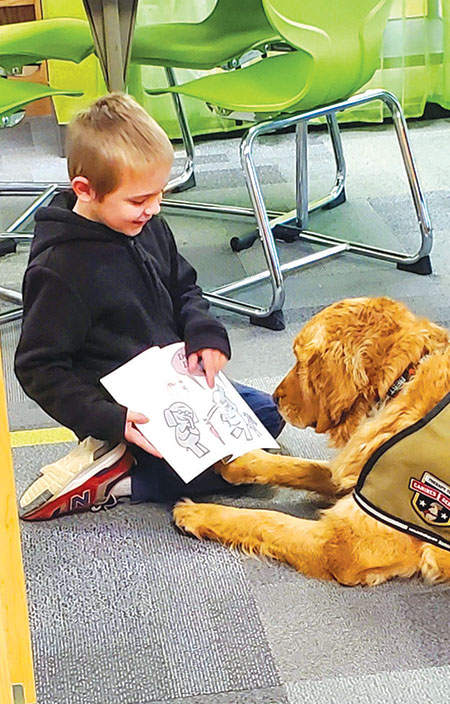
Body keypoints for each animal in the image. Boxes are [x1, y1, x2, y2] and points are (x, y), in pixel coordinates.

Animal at [173, 296, 450, 588]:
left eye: (300, 360)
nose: (274, 398)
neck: (398, 383)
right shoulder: (357, 470)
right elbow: (301, 467)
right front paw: (240, 460)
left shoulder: (345, 544)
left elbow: (265, 518)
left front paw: (197, 512)